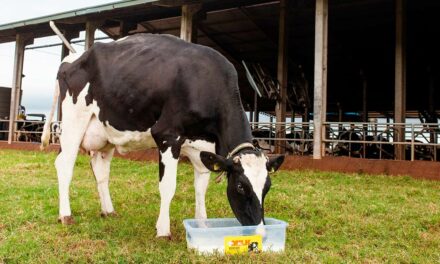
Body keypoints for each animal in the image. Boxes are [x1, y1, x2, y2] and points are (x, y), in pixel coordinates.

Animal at [39, 32, 284, 238]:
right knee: (64, 165)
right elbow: (168, 186)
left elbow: (200, 188)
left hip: (105, 133)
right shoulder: (168, 135)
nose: (260, 232)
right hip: (74, 122)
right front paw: (163, 230)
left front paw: (203, 226)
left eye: (268, 186)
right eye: (241, 186)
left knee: (101, 172)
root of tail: (72, 57)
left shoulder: (203, 146)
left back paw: (108, 211)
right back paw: (65, 215)